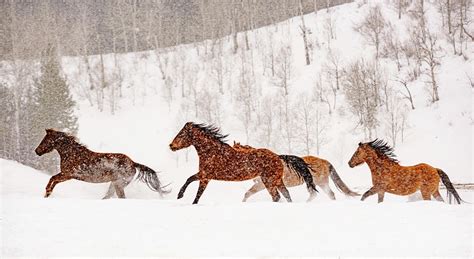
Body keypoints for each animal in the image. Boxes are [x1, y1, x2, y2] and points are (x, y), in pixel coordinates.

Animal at [34, 129, 170, 199]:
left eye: (45, 140)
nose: (37, 151)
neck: (72, 154)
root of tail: (133, 163)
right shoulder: (67, 175)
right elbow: (54, 179)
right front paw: (47, 193)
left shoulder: (68, 175)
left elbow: (53, 179)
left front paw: (47, 192)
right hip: (114, 184)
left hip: (118, 184)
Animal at [168, 123, 312, 204]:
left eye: (181, 134)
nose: (171, 146)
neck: (212, 152)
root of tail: (277, 156)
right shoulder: (205, 177)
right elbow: (194, 189)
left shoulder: (205, 175)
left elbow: (191, 184)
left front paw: (179, 196)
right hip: (276, 180)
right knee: (285, 193)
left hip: (269, 181)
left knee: (276, 196)